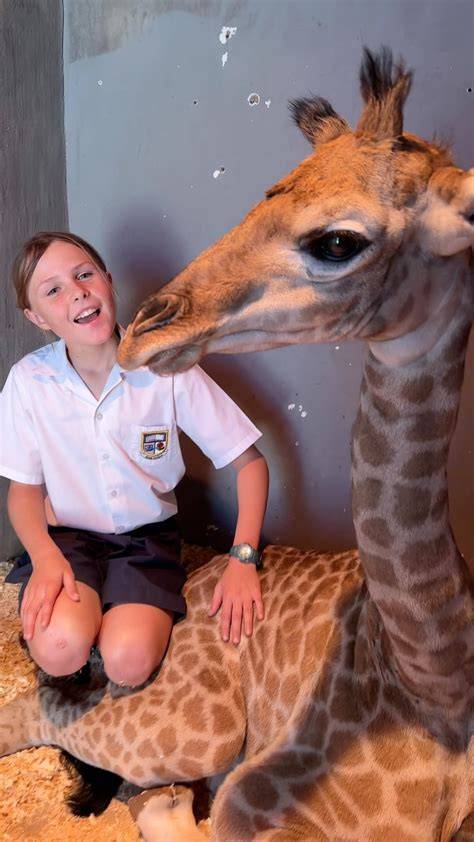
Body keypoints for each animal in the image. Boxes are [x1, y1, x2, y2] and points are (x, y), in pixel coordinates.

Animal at [0, 47, 473, 841]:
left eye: (337, 241)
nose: (141, 330)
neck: (438, 679)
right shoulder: (256, 800)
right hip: (199, 725)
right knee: (47, 709)